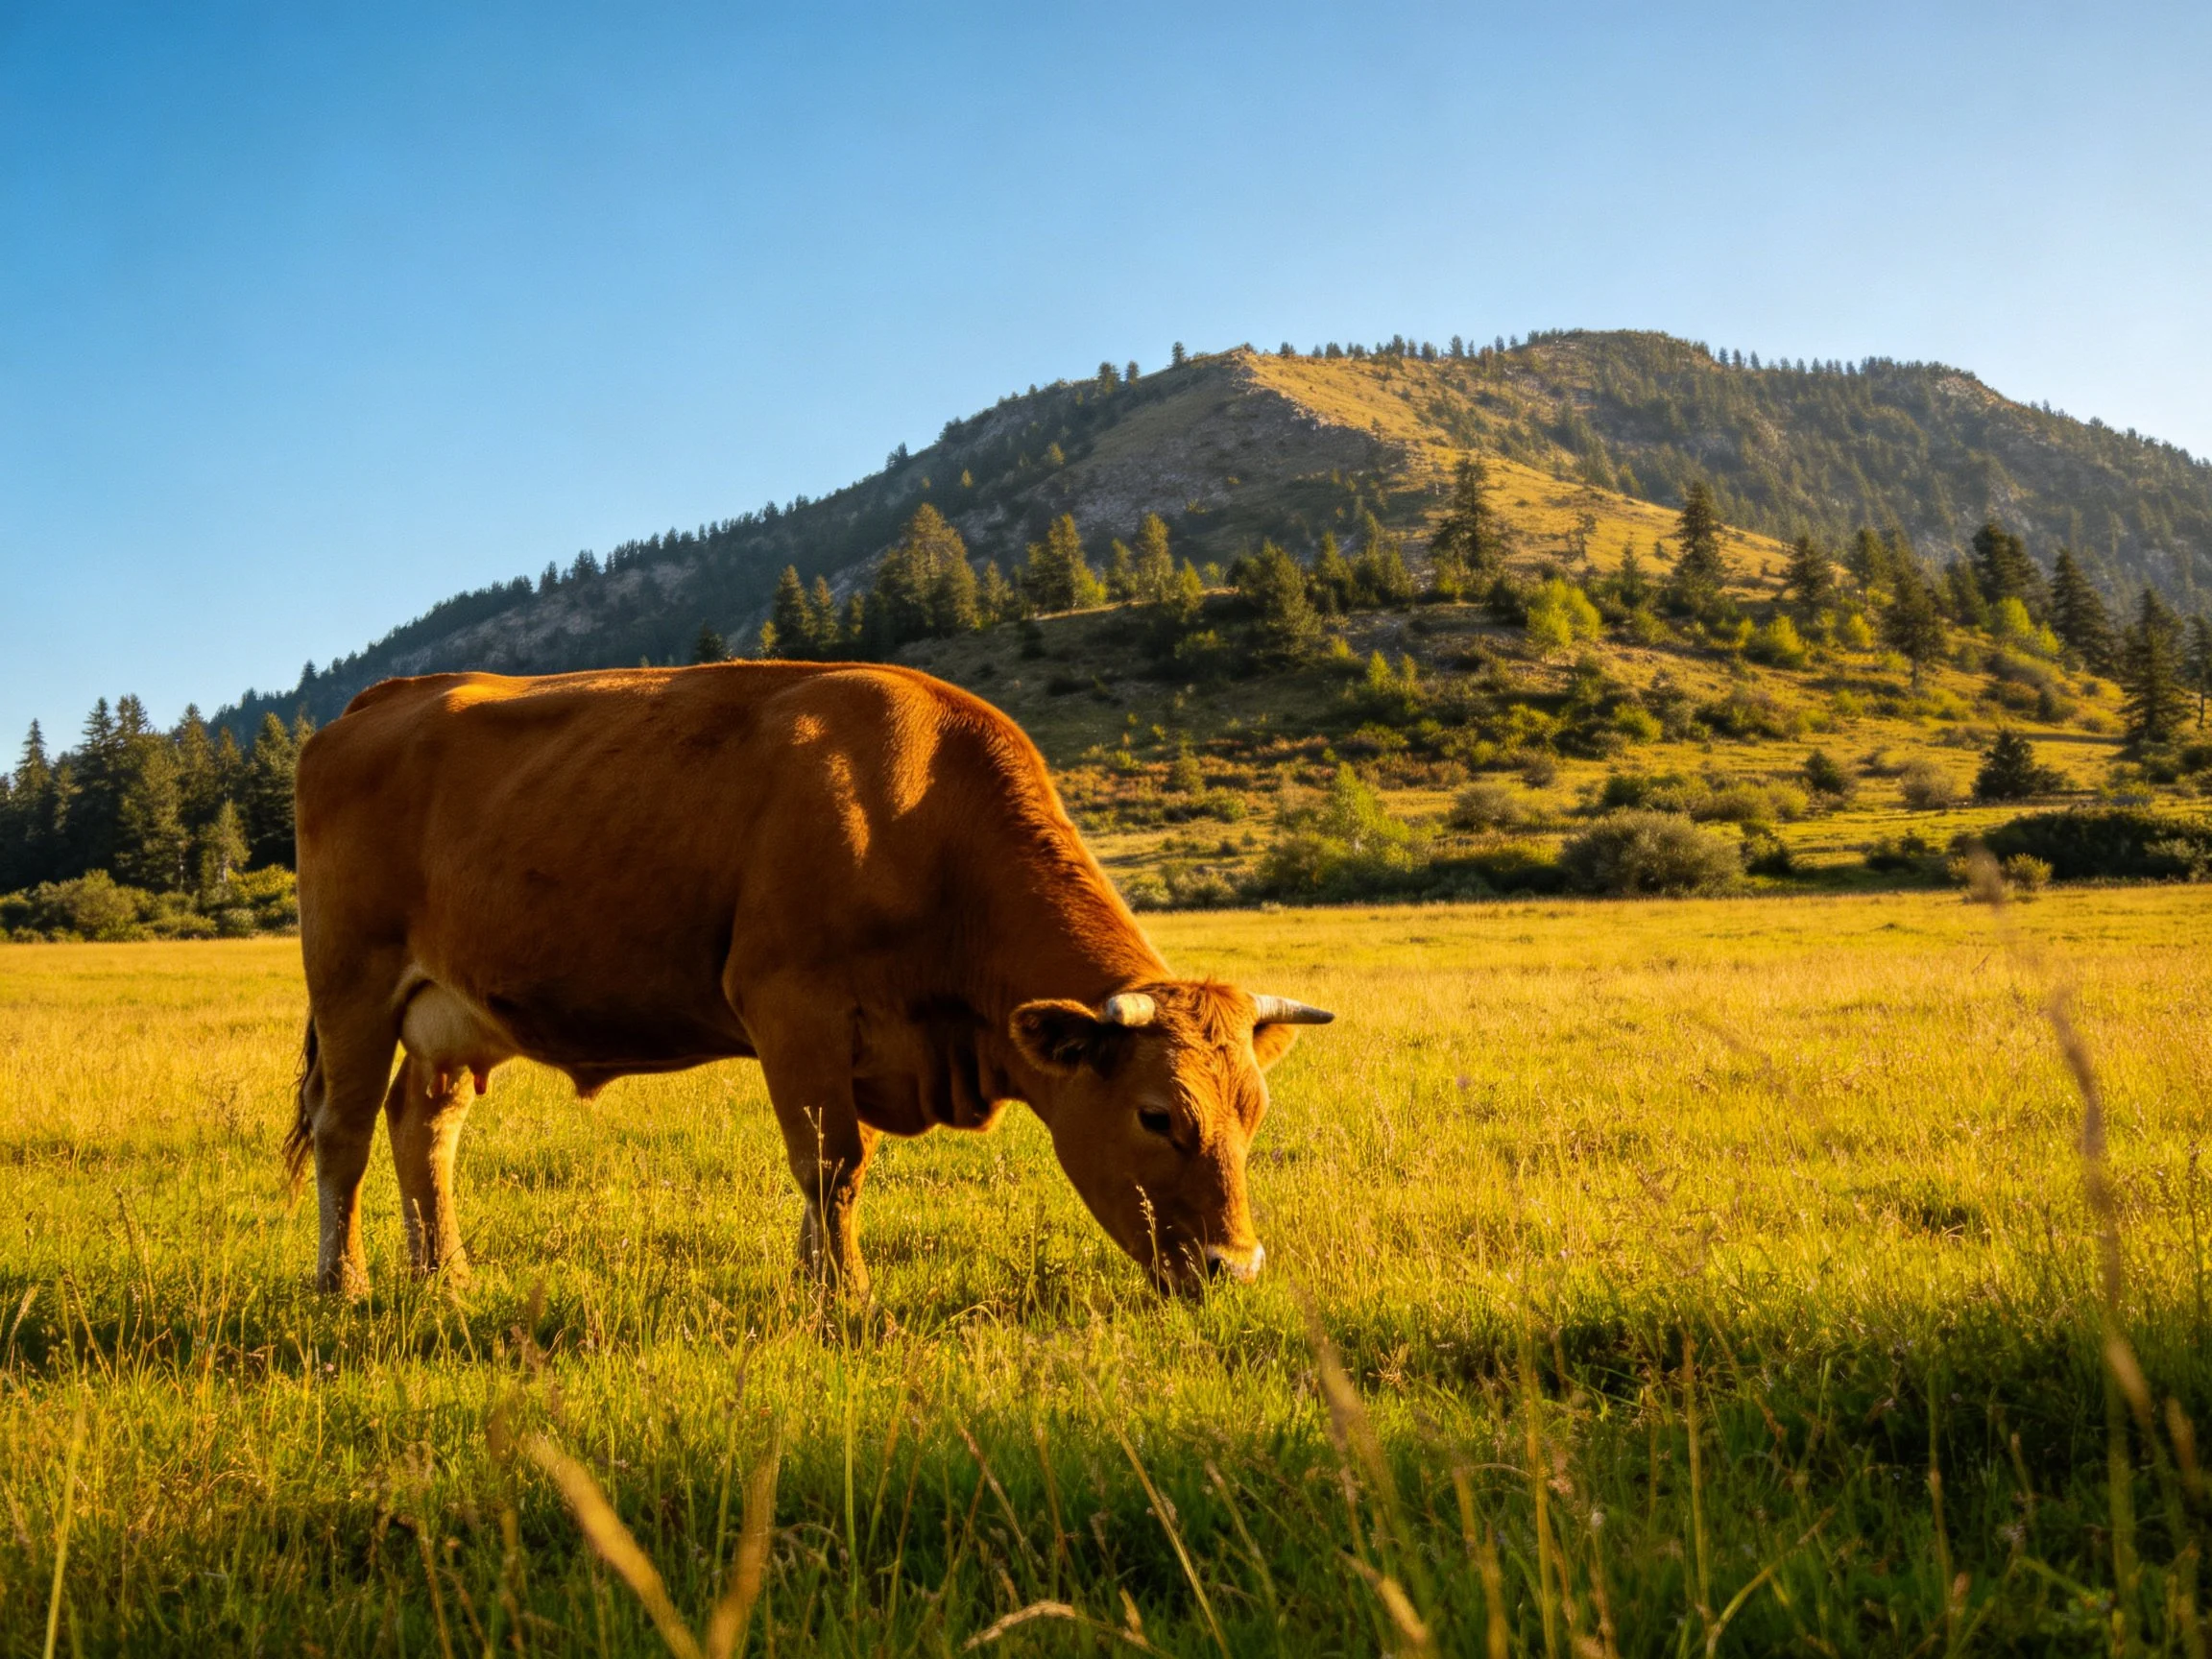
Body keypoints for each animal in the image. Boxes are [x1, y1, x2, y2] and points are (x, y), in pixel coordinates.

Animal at [284, 660, 1331, 1300]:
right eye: (1156, 1116)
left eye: (1254, 1113)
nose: (1236, 1266)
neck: (920, 817)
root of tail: (382, 700)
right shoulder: (793, 1011)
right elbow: (834, 1166)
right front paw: (845, 1299)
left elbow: (828, 1172)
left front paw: (810, 1284)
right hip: (351, 986)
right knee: (344, 1133)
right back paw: (346, 1284)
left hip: (452, 1018)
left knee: (424, 1128)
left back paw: (446, 1279)